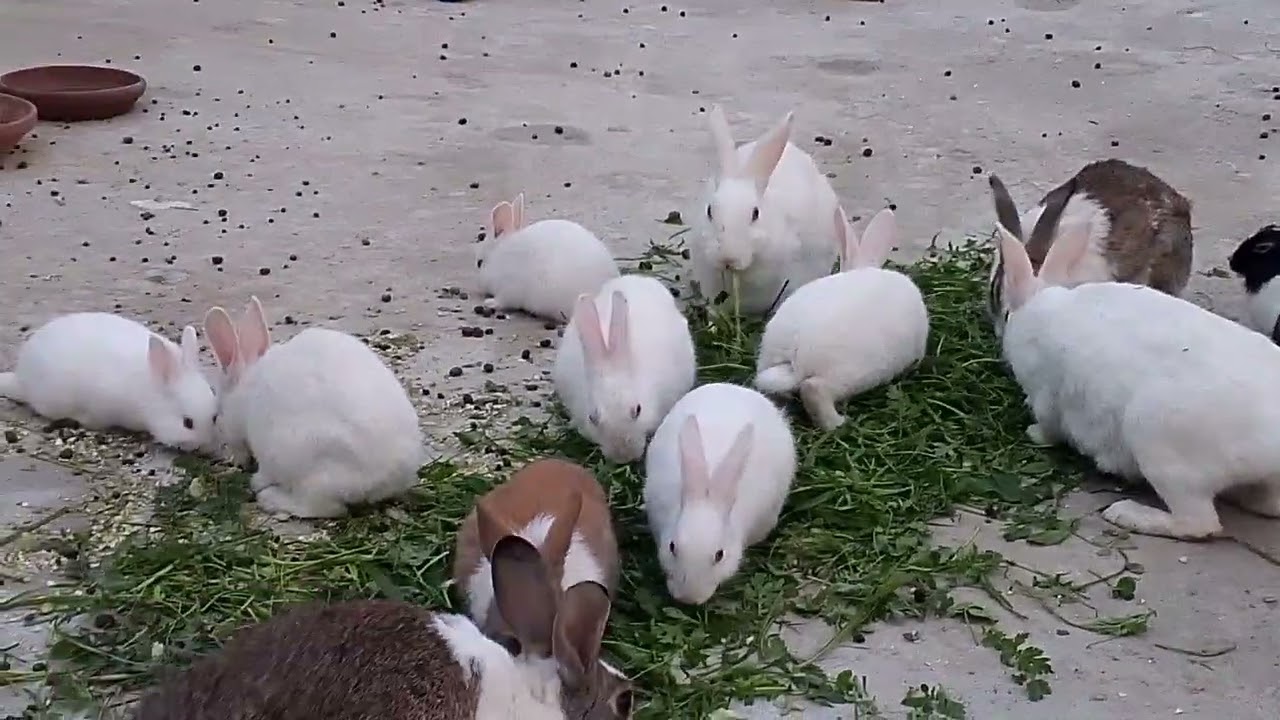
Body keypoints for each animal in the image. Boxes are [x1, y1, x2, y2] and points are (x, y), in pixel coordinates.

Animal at [203, 296, 424, 519]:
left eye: (216, 417)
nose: (237, 463)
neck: (246, 392)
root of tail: (390, 476)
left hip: (304, 461)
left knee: (324, 507)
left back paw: (269, 498)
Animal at [476, 192, 620, 323]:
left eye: (479, 263)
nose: (480, 286)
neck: (499, 257)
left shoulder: (509, 288)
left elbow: (503, 301)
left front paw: (489, 302)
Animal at [995, 217, 1280, 540]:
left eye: (1007, 314)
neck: (1041, 308)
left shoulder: (1046, 397)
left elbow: (1049, 427)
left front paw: (1033, 433)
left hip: (1159, 447)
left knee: (1198, 523)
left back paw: (1125, 513)